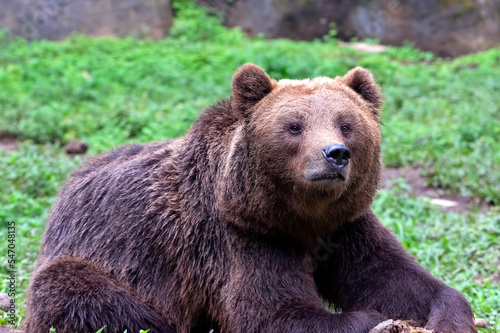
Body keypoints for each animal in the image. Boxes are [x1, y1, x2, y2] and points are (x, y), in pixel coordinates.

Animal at [24, 63, 476, 330]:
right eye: (294, 126)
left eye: (346, 124)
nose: (335, 155)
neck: (302, 216)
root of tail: (64, 194)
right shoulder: (238, 236)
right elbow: (272, 312)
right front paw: (371, 319)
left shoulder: (344, 226)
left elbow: (391, 276)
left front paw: (446, 316)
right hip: (95, 256)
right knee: (78, 293)